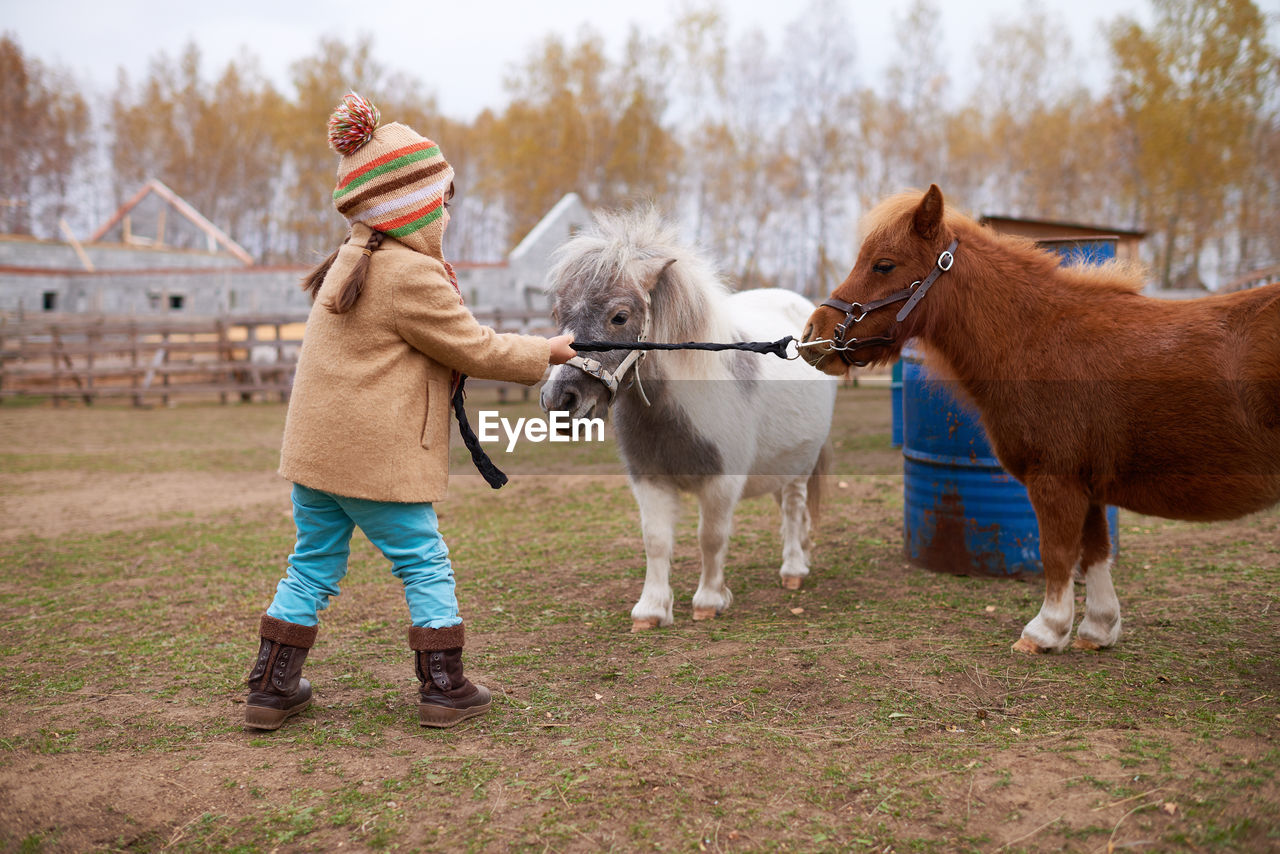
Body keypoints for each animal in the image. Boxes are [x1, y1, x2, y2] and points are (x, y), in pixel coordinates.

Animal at [540, 209, 839, 632]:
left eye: (620, 317)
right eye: (556, 314)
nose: (559, 400)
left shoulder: (720, 483)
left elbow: (710, 537)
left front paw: (709, 601)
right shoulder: (649, 480)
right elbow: (656, 540)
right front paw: (651, 610)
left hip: (801, 463)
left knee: (794, 507)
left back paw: (794, 569)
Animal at [798, 185, 1280, 655]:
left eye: (883, 265)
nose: (810, 335)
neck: (1036, 337)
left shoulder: (1055, 479)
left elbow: (1057, 551)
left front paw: (1046, 631)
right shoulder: (1087, 485)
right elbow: (1094, 551)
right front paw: (1097, 629)